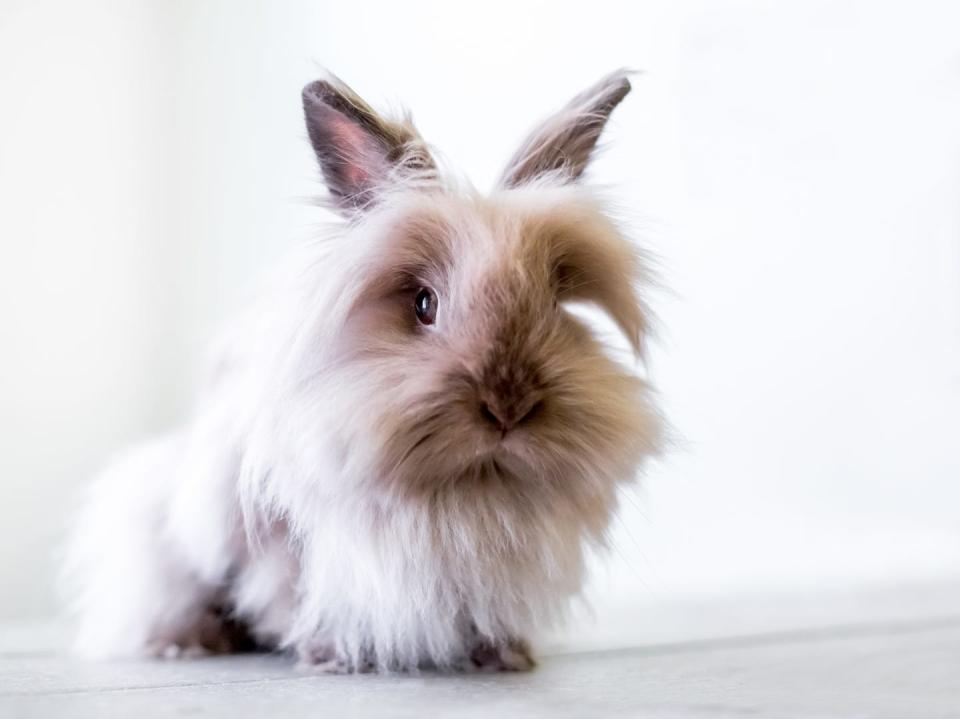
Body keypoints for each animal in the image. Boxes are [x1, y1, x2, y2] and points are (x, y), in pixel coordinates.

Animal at [60, 69, 660, 676]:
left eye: (556, 306)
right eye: (423, 304)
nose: (508, 406)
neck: (465, 496)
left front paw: (503, 654)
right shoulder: (286, 549)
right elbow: (297, 597)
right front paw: (333, 654)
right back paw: (196, 639)